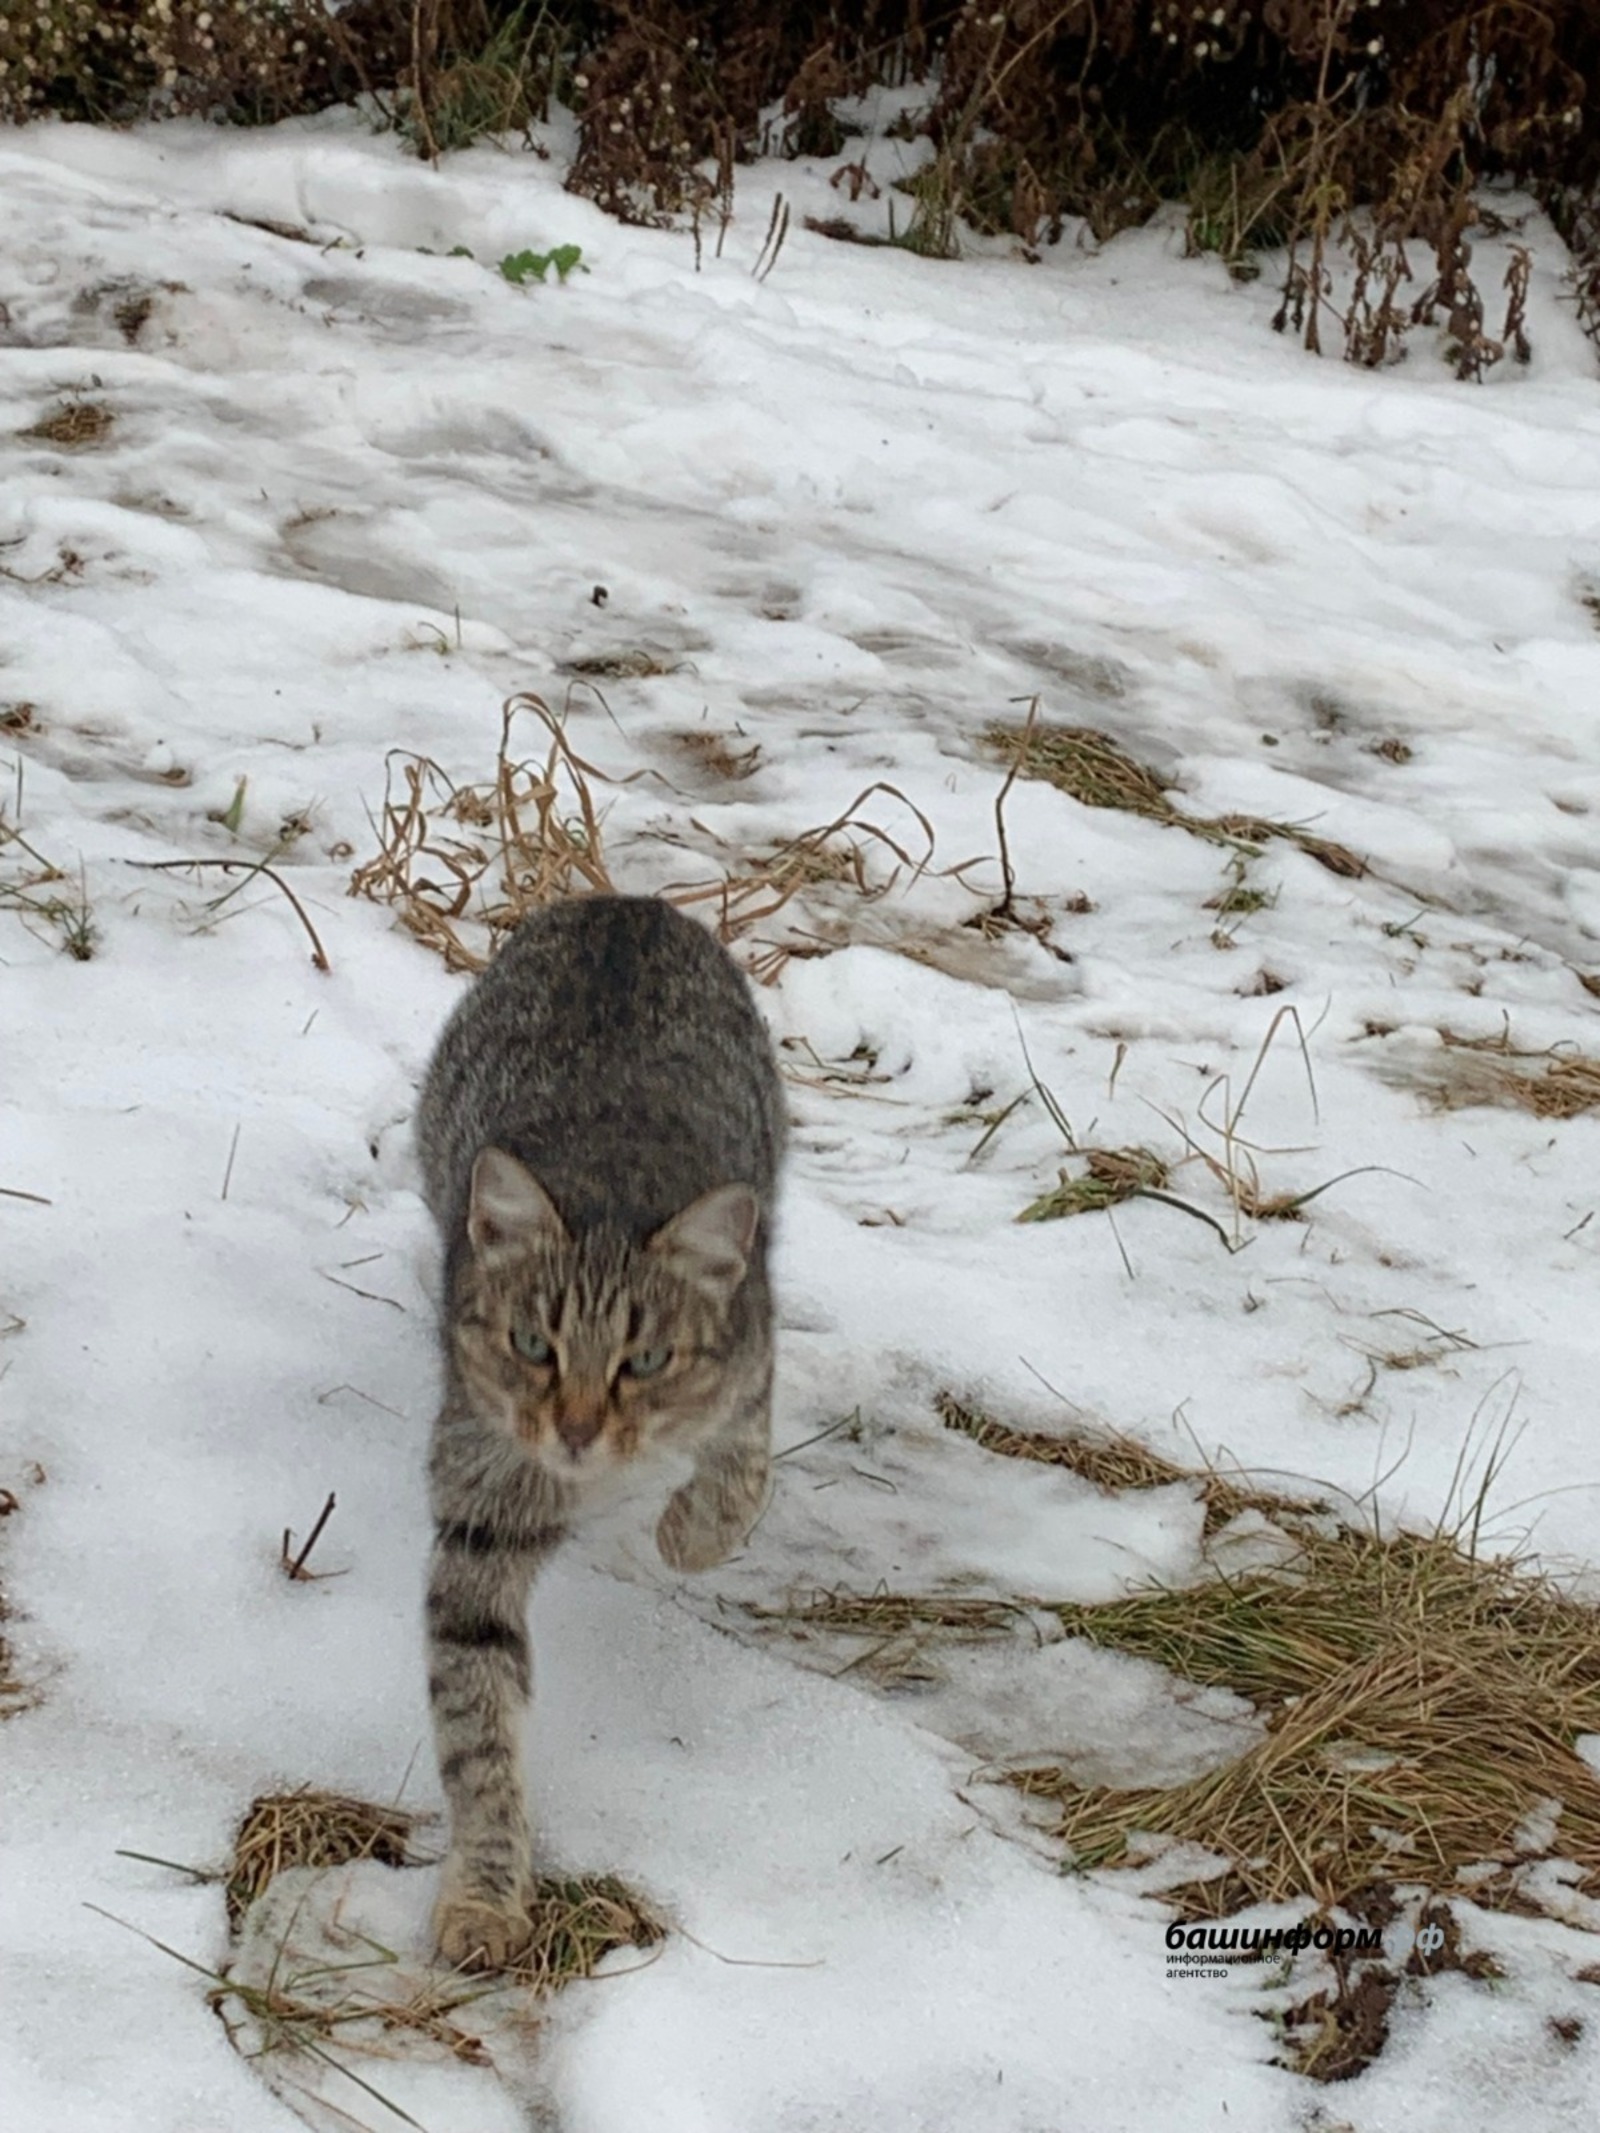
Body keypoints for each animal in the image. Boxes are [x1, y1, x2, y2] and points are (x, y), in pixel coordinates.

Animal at [413, 894, 786, 1970]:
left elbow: (743, 1460)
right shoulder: (482, 1501)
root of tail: (628, 901)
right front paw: (486, 1892)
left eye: (645, 1360)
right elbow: (477, 1727)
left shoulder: (750, 1359)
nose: (577, 1430)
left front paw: (690, 1533)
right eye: (534, 1344)